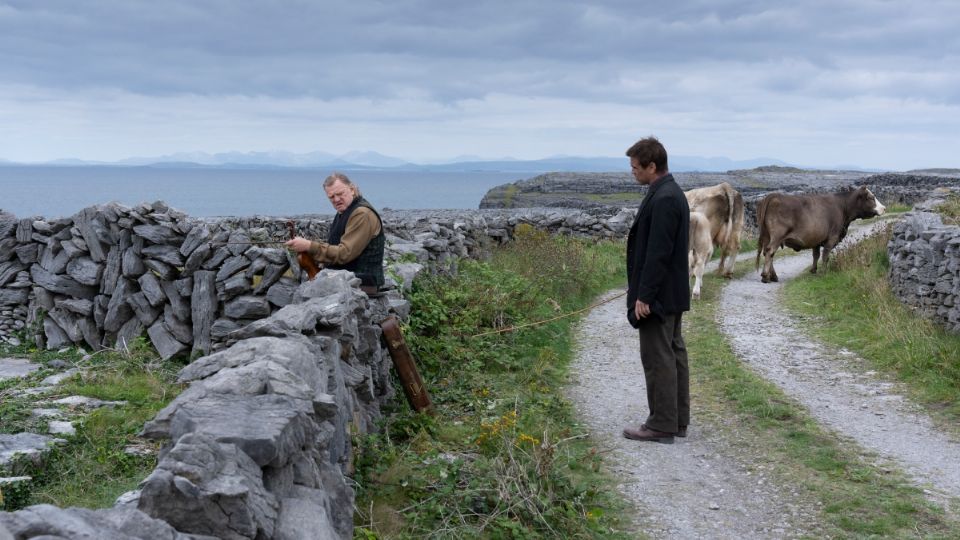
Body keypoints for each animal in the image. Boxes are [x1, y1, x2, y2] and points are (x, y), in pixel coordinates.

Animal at [752, 187, 888, 282]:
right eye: (871, 197)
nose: (884, 208)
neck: (842, 207)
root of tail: (773, 195)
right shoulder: (832, 237)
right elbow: (825, 256)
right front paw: (824, 272)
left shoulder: (816, 239)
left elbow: (815, 255)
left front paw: (813, 270)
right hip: (777, 235)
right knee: (770, 251)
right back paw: (765, 276)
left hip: (767, 235)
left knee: (766, 252)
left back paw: (773, 276)